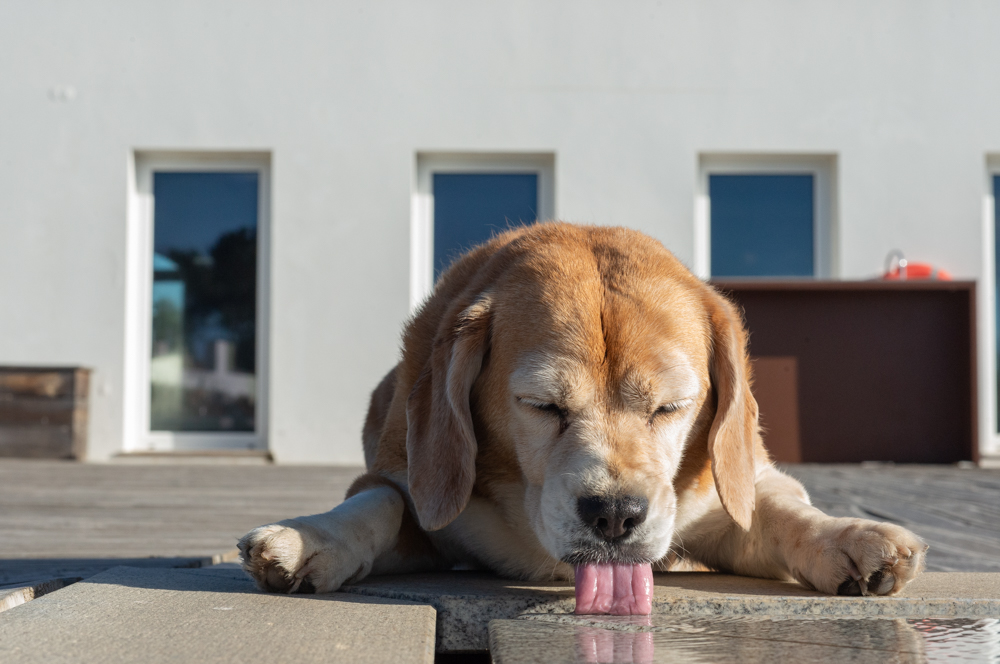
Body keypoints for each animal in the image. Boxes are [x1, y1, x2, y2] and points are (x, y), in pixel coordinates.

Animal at [238, 223, 924, 612]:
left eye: (670, 407)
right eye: (542, 406)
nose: (615, 515)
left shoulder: (729, 496)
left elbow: (780, 511)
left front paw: (855, 538)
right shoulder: (407, 489)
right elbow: (376, 502)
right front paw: (307, 538)